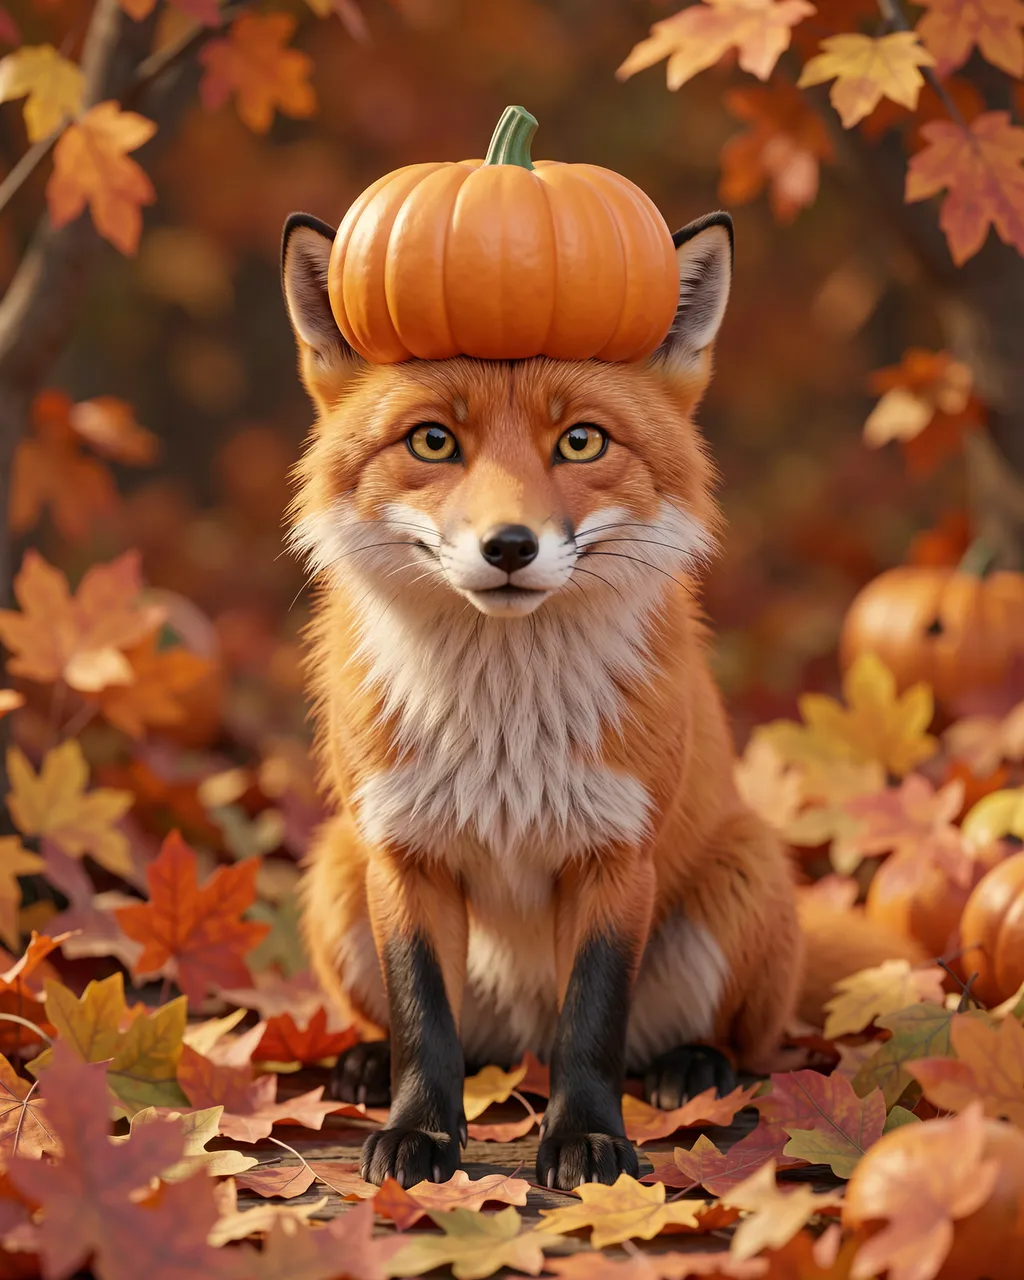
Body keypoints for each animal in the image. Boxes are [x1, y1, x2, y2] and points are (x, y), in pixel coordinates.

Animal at [281, 207, 922, 1193]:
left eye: (580, 440)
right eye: (433, 441)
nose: (510, 546)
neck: (505, 729)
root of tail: (518, 1035)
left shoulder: (615, 854)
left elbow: (593, 1021)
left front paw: (588, 1142)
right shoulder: (404, 852)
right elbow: (424, 1020)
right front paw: (419, 1131)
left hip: (744, 876)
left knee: (731, 1043)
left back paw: (693, 1067)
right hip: (337, 872)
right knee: (456, 1041)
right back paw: (363, 1062)